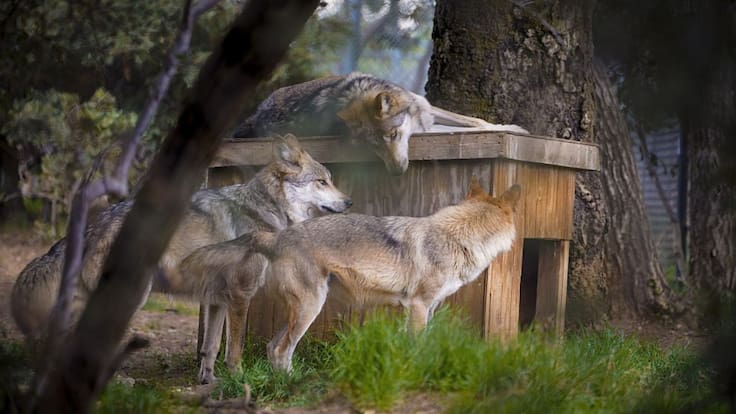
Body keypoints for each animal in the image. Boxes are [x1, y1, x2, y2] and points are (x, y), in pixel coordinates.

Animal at [10, 135, 352, 365]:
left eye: (330, 181)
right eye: (322, 182)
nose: (349, 202)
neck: (266, 208)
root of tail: (98, 221)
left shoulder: (217, 298)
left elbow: (211, 348)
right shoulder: (240, 294)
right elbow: (235, 349)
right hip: (128, 298)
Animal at [206, 178, 520, 372]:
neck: (457, 237)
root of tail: (277, 236)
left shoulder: (426, 308)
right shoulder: (418, 306)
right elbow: (417, 346)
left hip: (304, 309)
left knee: (273, 348)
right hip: (310, 308)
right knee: (283, 351)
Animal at [233, 72, 527, 175]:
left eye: (395, 134)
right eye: (373, 148)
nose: (396, 172)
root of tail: (255, 115)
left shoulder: (428, 111)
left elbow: (475, 121)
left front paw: (512, 128)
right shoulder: (428, 126)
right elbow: (462, 128)